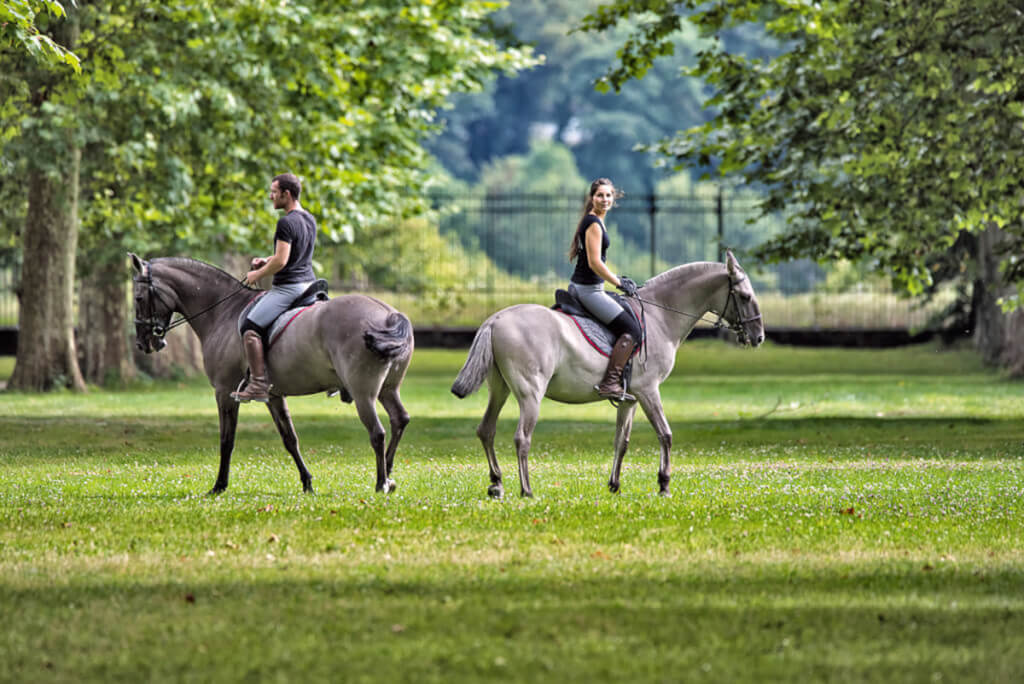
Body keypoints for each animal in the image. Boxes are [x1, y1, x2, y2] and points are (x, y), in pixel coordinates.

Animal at [131, 253, 411, 493]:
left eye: (138, 298)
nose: (144, 343)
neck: (223, 312)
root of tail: (388, 314)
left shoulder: (224, 391)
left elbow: (227, 440)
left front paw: (219, 486)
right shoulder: (274, 396)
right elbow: (290, 439)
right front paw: (307, 483)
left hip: (364, 394)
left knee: (377, 432)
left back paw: (381, 483)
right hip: (388, 390)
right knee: (400, 420)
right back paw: (389, 474)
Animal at [452, 249, 765, 497]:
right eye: (745, 296)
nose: (759, 336)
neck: (659, 317)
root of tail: (496, 318)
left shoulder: (630, 399)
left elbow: (621, 441)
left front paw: (615, 484)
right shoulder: (649, 391)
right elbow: (665, 434)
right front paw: (664, 484)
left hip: (500, 389)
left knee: (486, 430)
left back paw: (497, 484)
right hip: (530, 394)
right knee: (521, 438)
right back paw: (526, 490)